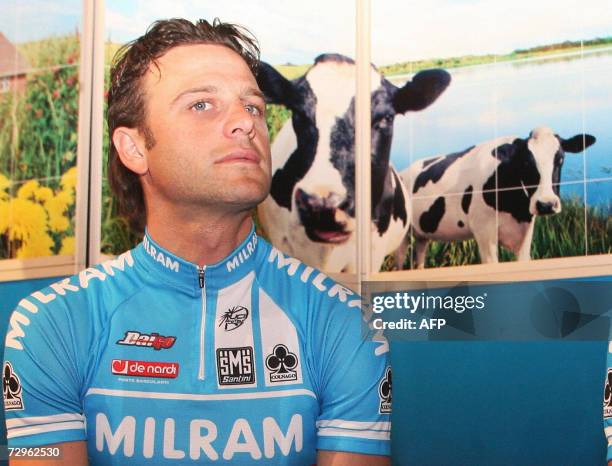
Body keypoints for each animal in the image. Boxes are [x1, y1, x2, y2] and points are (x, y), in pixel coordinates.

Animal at [396, 125, 592, 268]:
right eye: (526, 162)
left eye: (560, 159)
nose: (546, 204)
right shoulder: (483, 230)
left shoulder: (526, 230)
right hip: (402, 236)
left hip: (422, 234)